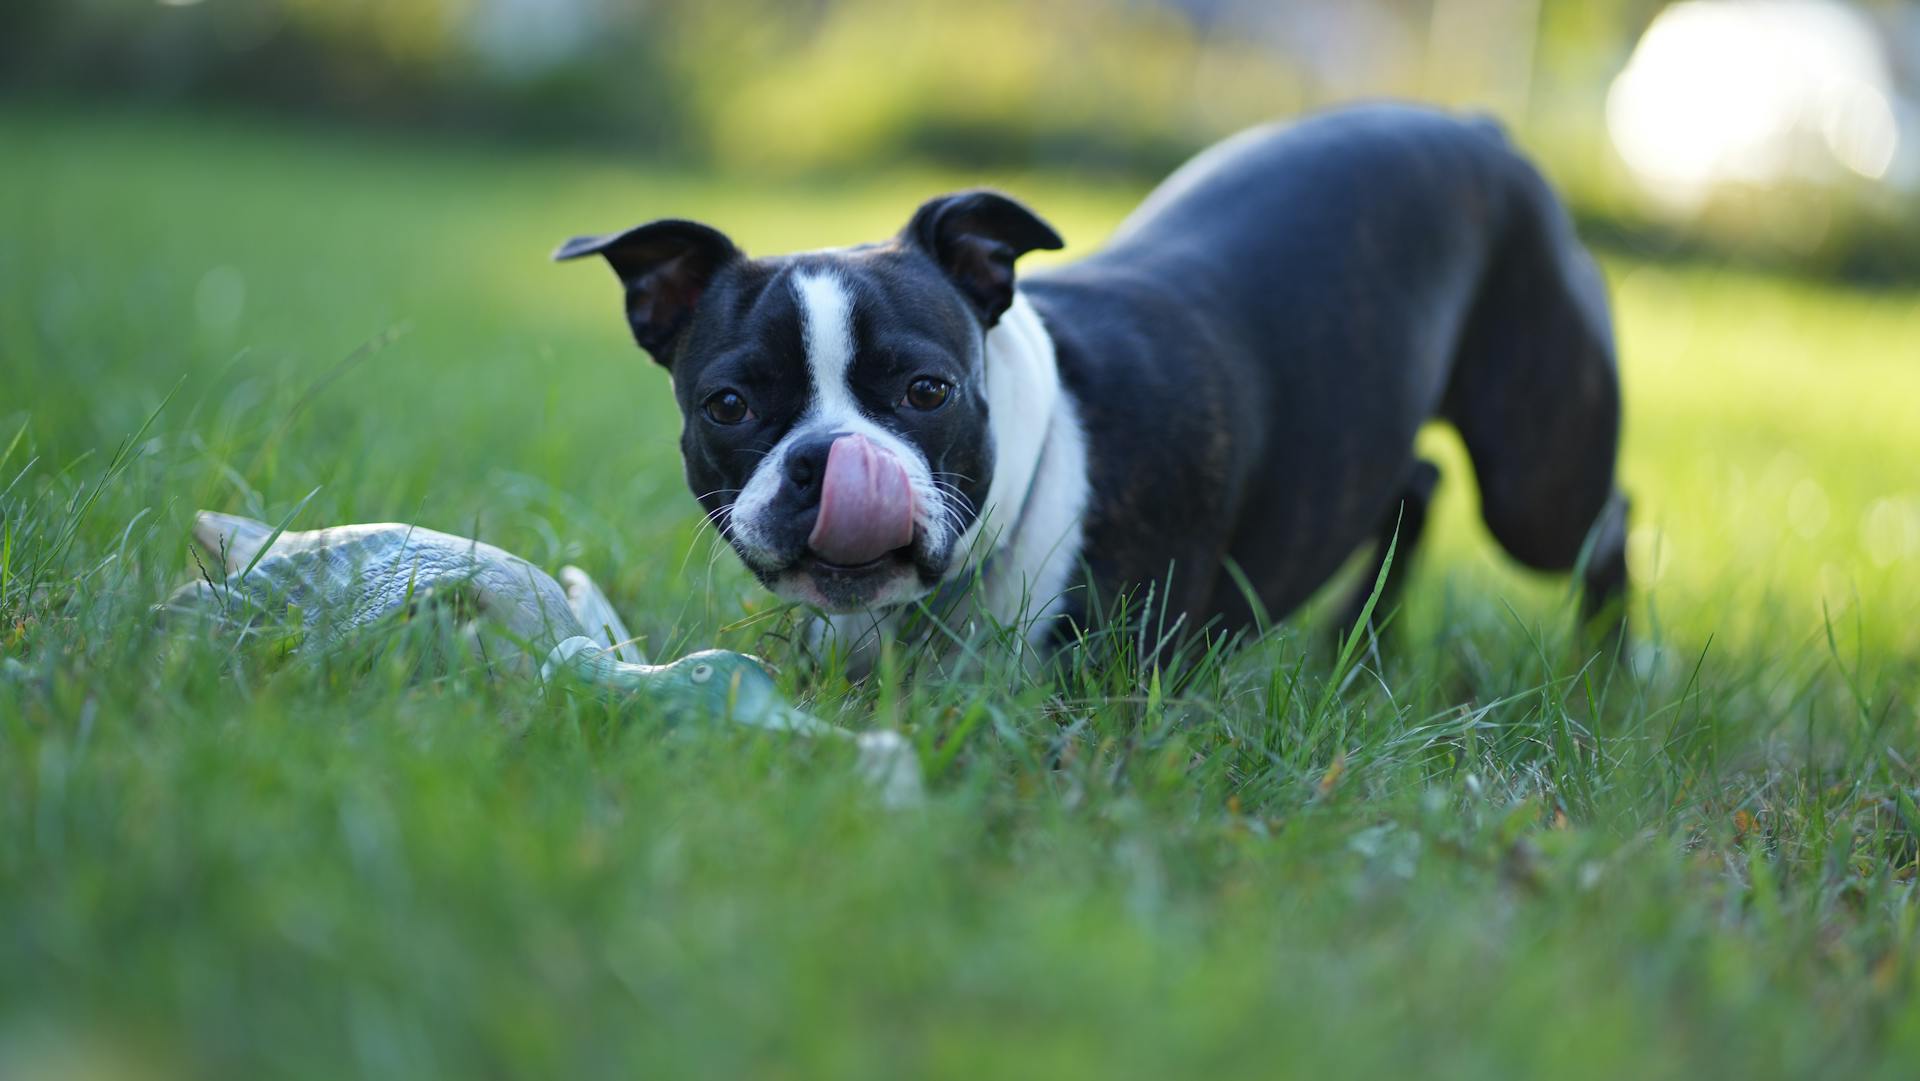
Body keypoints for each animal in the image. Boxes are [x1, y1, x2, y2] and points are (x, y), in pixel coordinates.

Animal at [560, 103, 1628, 660]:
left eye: (926, 393)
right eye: (730, 407)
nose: (832, 461)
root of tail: (1478, 125)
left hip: (1535, 483)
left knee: (1598, 521)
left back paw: (1604, 676)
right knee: (1415, 481)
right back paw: (1358, 651)